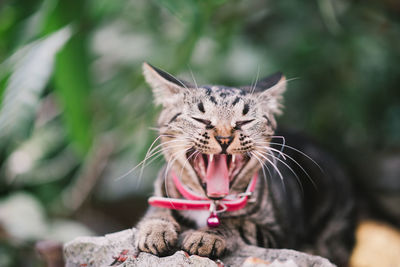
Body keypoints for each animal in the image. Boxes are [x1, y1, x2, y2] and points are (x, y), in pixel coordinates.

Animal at [135, 62, 356, 266]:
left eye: (245, 122)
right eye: (200, 119)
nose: (224, 138)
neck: (210, 205)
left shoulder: (277, 234)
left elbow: (238, 224)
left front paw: (206, 235)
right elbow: (156, 211)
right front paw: (156, 229)